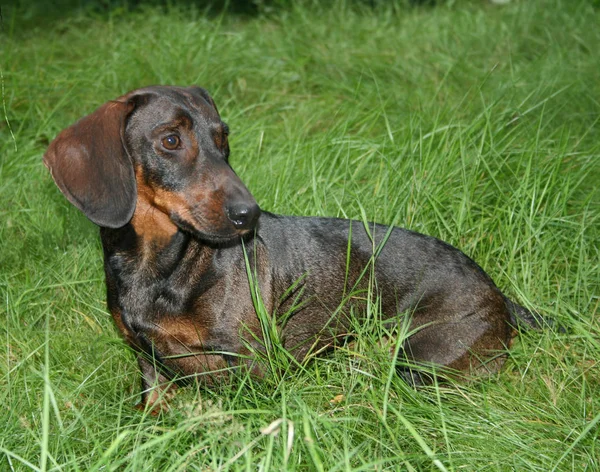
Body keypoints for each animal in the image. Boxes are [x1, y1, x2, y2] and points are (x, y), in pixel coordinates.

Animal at [42, 86, 540, 412]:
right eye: (170, 140)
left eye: (223, 138)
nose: (250, 215)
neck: (163, 267)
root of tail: (499, 296)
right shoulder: (148, 365)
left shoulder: (250, 367)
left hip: (420, 361)